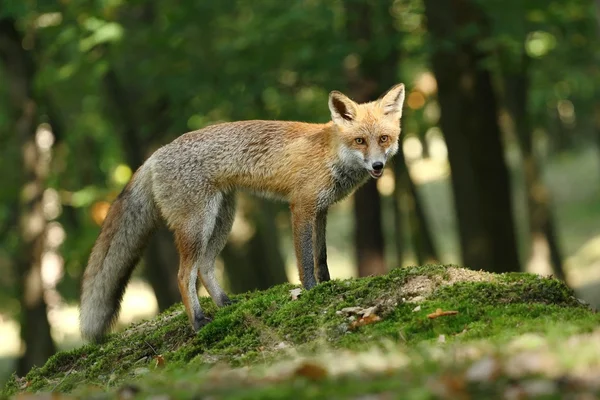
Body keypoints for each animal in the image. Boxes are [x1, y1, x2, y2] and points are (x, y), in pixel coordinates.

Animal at [79, 83, 406, 342]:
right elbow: (305, 261)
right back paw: (199, 322)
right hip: (197, 225)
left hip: (222, 219)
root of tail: (155, 155)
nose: (378, 166)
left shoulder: (321, 210)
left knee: (205, 267)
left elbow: (321, 257)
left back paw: (225, 304)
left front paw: (328, 285)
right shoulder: (301, 207)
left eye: (384, 139)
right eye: (360, 141)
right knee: (184, 274)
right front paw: (312, 292)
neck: (331, 154)